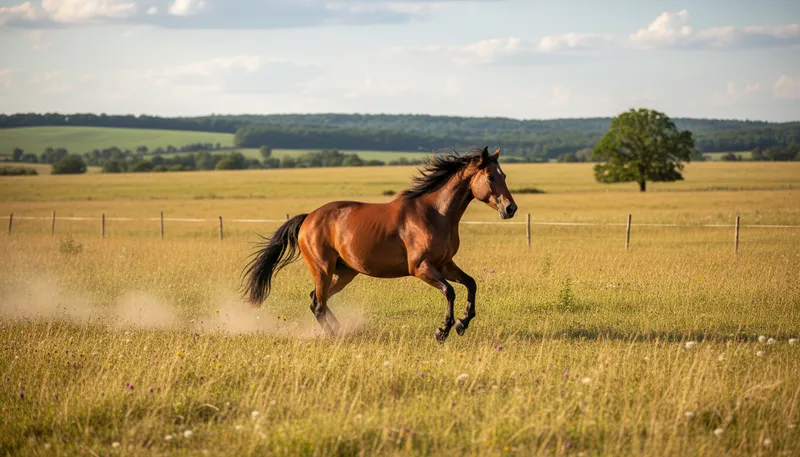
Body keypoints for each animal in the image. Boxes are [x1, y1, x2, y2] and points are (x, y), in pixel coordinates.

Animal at [241, 146, 518, 342]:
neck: (435, 213)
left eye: (504, 175)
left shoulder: (445, 264)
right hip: (322, 269)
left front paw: (462, 323)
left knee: (316, 300)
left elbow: (470, 284)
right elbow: (450, 291)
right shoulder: (421, 268)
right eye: (491, 177)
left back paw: (342, 330)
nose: (510, 208)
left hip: (344, 273)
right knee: (318, 304)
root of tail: (308, 218)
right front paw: (443, 330)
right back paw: (336, 336)